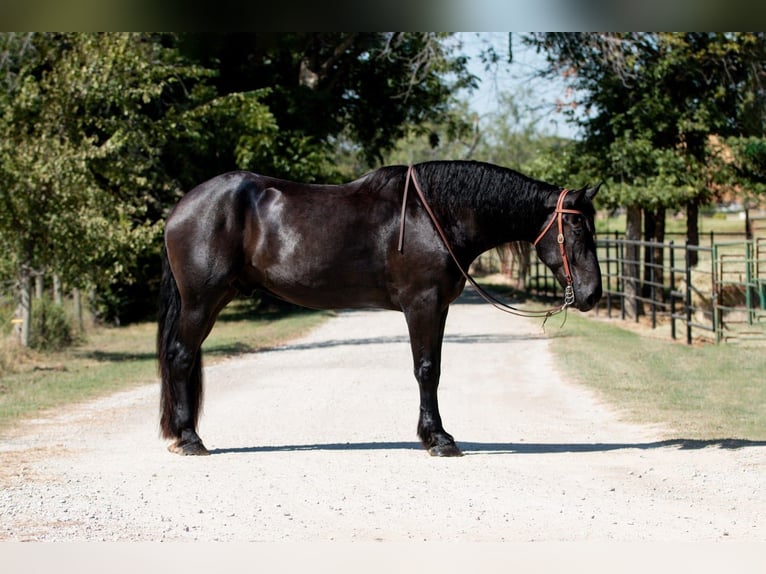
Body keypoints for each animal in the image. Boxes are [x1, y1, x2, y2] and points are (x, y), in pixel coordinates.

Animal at [156, 161, 604, 460]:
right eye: (576, 227)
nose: (593, 294)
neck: (434, 216)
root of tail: (182, 207)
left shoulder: (438, 307)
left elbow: (434, 368)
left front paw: (433, 435)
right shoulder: (422, 304)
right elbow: (426, 370)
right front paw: (439, 440)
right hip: (202, 301)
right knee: (179, 357)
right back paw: (189, 440)